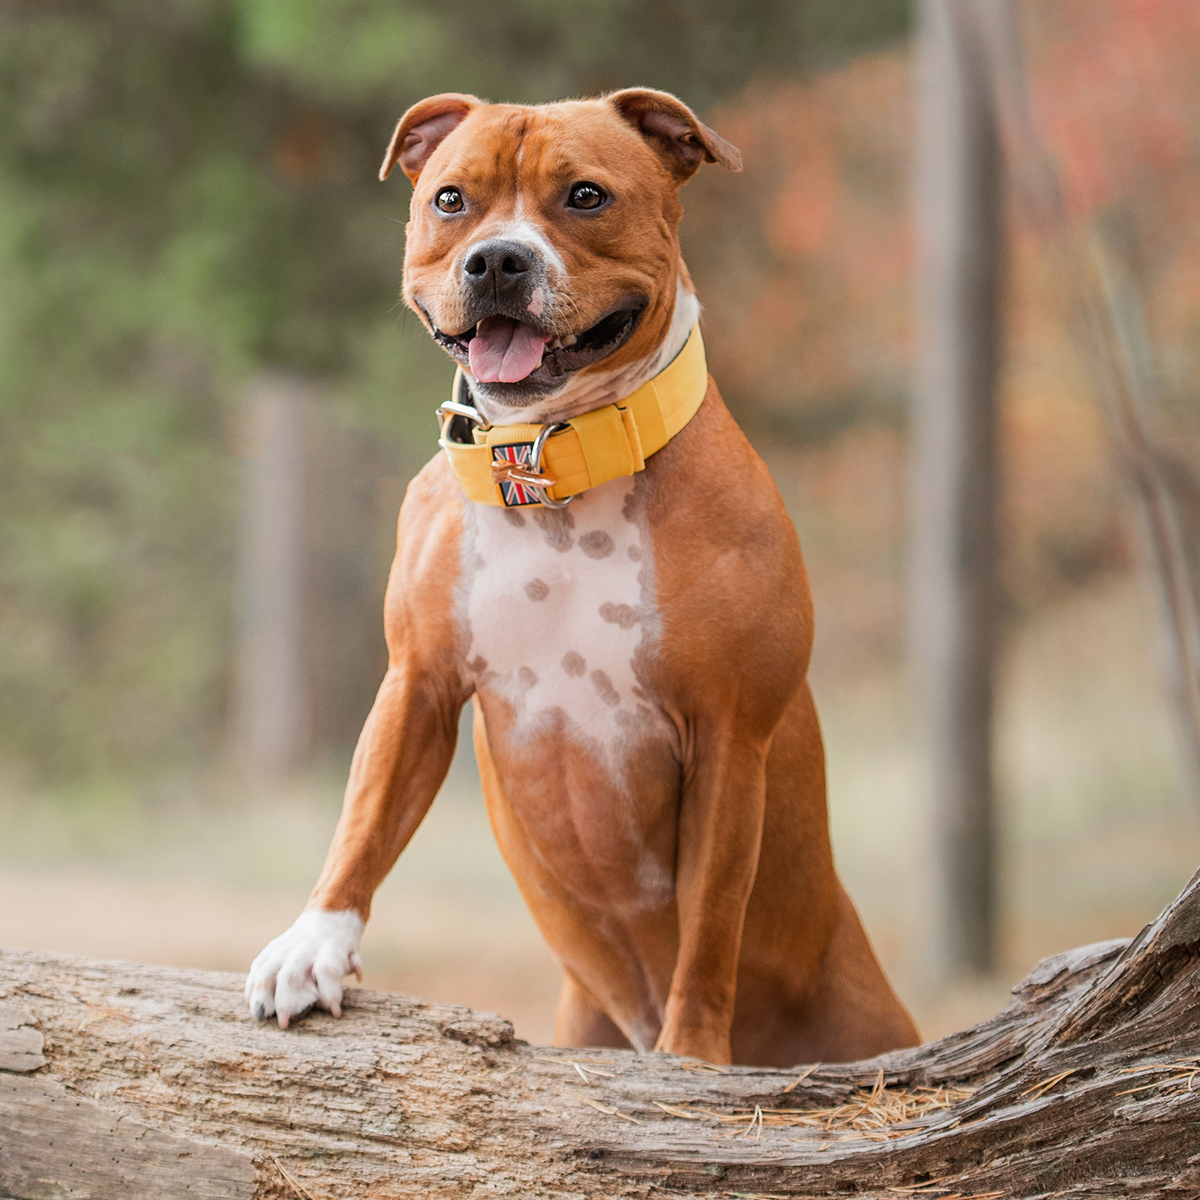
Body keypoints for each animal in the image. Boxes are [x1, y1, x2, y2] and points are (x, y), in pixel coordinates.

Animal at [243, 88, 916, 1065]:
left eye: (587, 197)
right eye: (452, 200)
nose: (498, 258)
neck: (553, 467)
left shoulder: (728, 738)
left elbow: (709, 924)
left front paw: (692, 1055)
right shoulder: (418, 683)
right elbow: (363, 821)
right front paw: (311, 945)